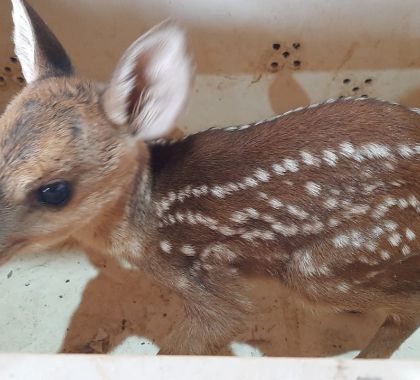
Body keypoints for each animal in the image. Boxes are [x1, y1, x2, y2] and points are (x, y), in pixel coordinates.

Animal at [2, 0, 420, 358]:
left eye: (55, 191)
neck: (147, 217)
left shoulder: (206, 273)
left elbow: (208, 330)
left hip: (337, 259)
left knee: (408, 305)